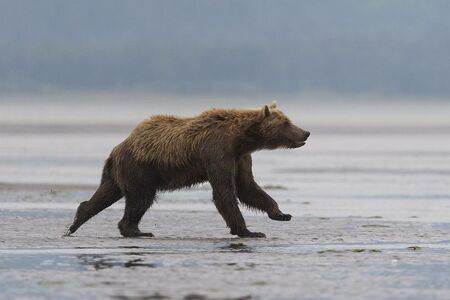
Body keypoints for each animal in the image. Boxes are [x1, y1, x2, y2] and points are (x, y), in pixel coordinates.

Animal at [67, 102, 310, 238]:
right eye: (286, 123)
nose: (306, 132)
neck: (240, 139)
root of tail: (118, 147)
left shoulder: (240, 158)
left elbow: (247, 187)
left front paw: (281, 214)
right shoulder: (217, 153)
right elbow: (224, 192)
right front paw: (249, 231)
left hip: (120, 172)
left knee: (106, 193)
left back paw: (77, 221)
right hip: (140, 169)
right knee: (140, 199)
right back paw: (137, 230)